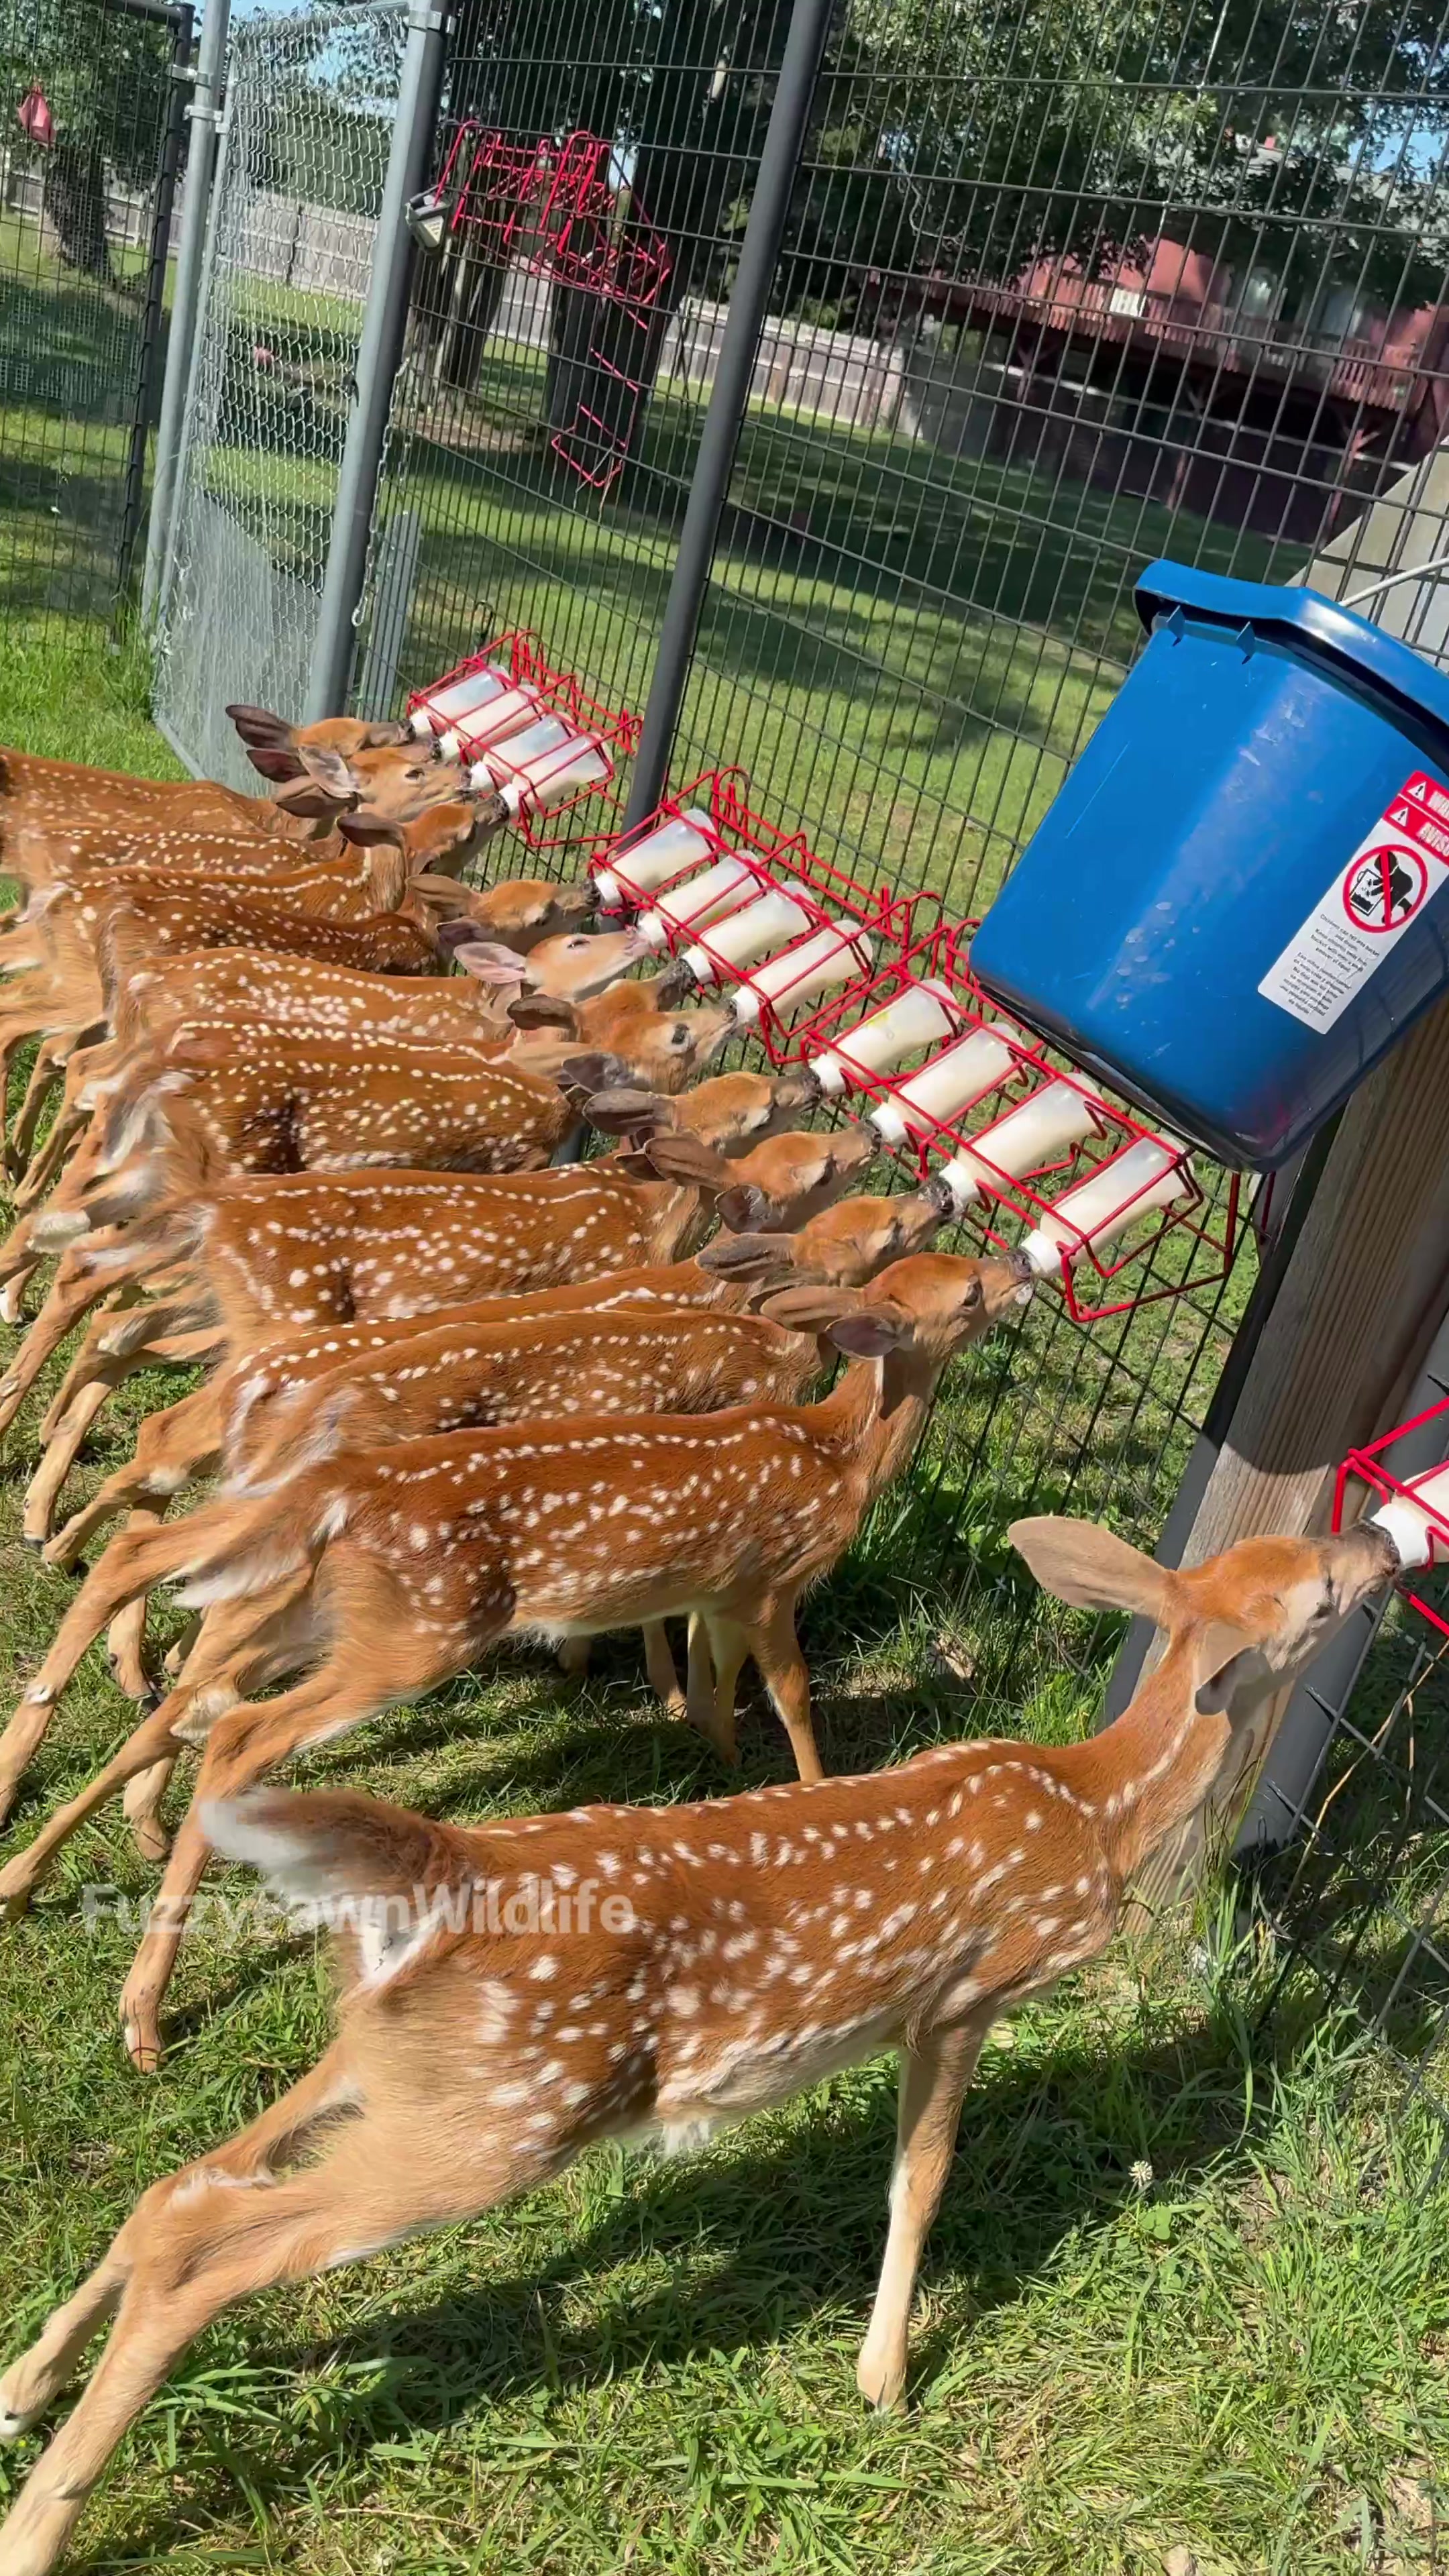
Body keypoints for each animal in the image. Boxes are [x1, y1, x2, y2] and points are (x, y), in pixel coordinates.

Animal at [0, 1509, 1402, 2576]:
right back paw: (37, 2529)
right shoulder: (964, 1994)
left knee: (183, 2181)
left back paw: (24, 2386)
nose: (1387, 1545)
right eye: (1318, 1595)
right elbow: (922, 2179)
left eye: (1301, 1550)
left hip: (395, 2065)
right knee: (206, 2246)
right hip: (500, 2117)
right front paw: (885, 2381)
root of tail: (444, 1869)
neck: (1095, 1806)